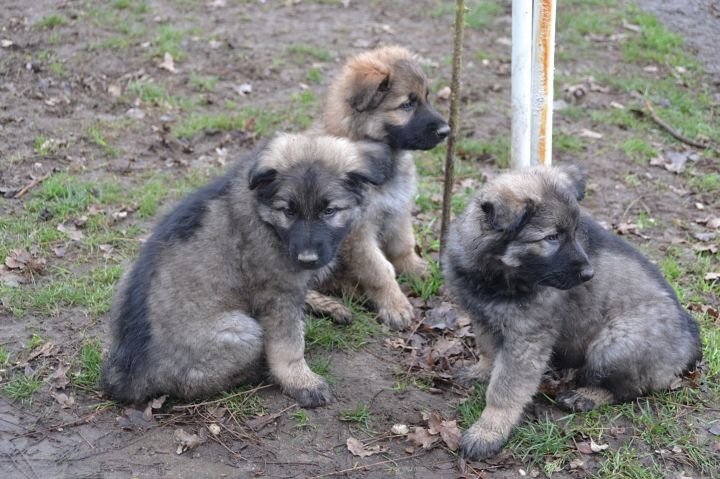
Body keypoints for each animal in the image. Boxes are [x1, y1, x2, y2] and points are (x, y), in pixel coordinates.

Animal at [101, 134, 392, 407]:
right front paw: (301, 381)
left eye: (329, 210)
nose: (307, 259)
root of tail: (128, 375)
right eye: (288, 211)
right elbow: (289, 344)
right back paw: (259, 370)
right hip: (242, 330)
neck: (265, 215)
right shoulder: (277, 295)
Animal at [306, 46, 449, 329]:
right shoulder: (357, 232)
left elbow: (403, 245)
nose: (446, 131)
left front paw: (417, 270)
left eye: (426, 98)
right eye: (407, 105)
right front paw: (395, 305)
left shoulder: (398, 209)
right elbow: (379, 269)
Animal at [443, 165, 702, 461]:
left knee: (632, 389)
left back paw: (586, 396)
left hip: (615, 344)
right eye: (552, 237)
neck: (498, 276)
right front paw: (481, 371)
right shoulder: (483, 316)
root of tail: (691, 341)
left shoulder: (527, 339)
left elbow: (504, 389)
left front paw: (488, 431)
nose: (589, 274)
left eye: (575, 232)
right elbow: (488, 349)